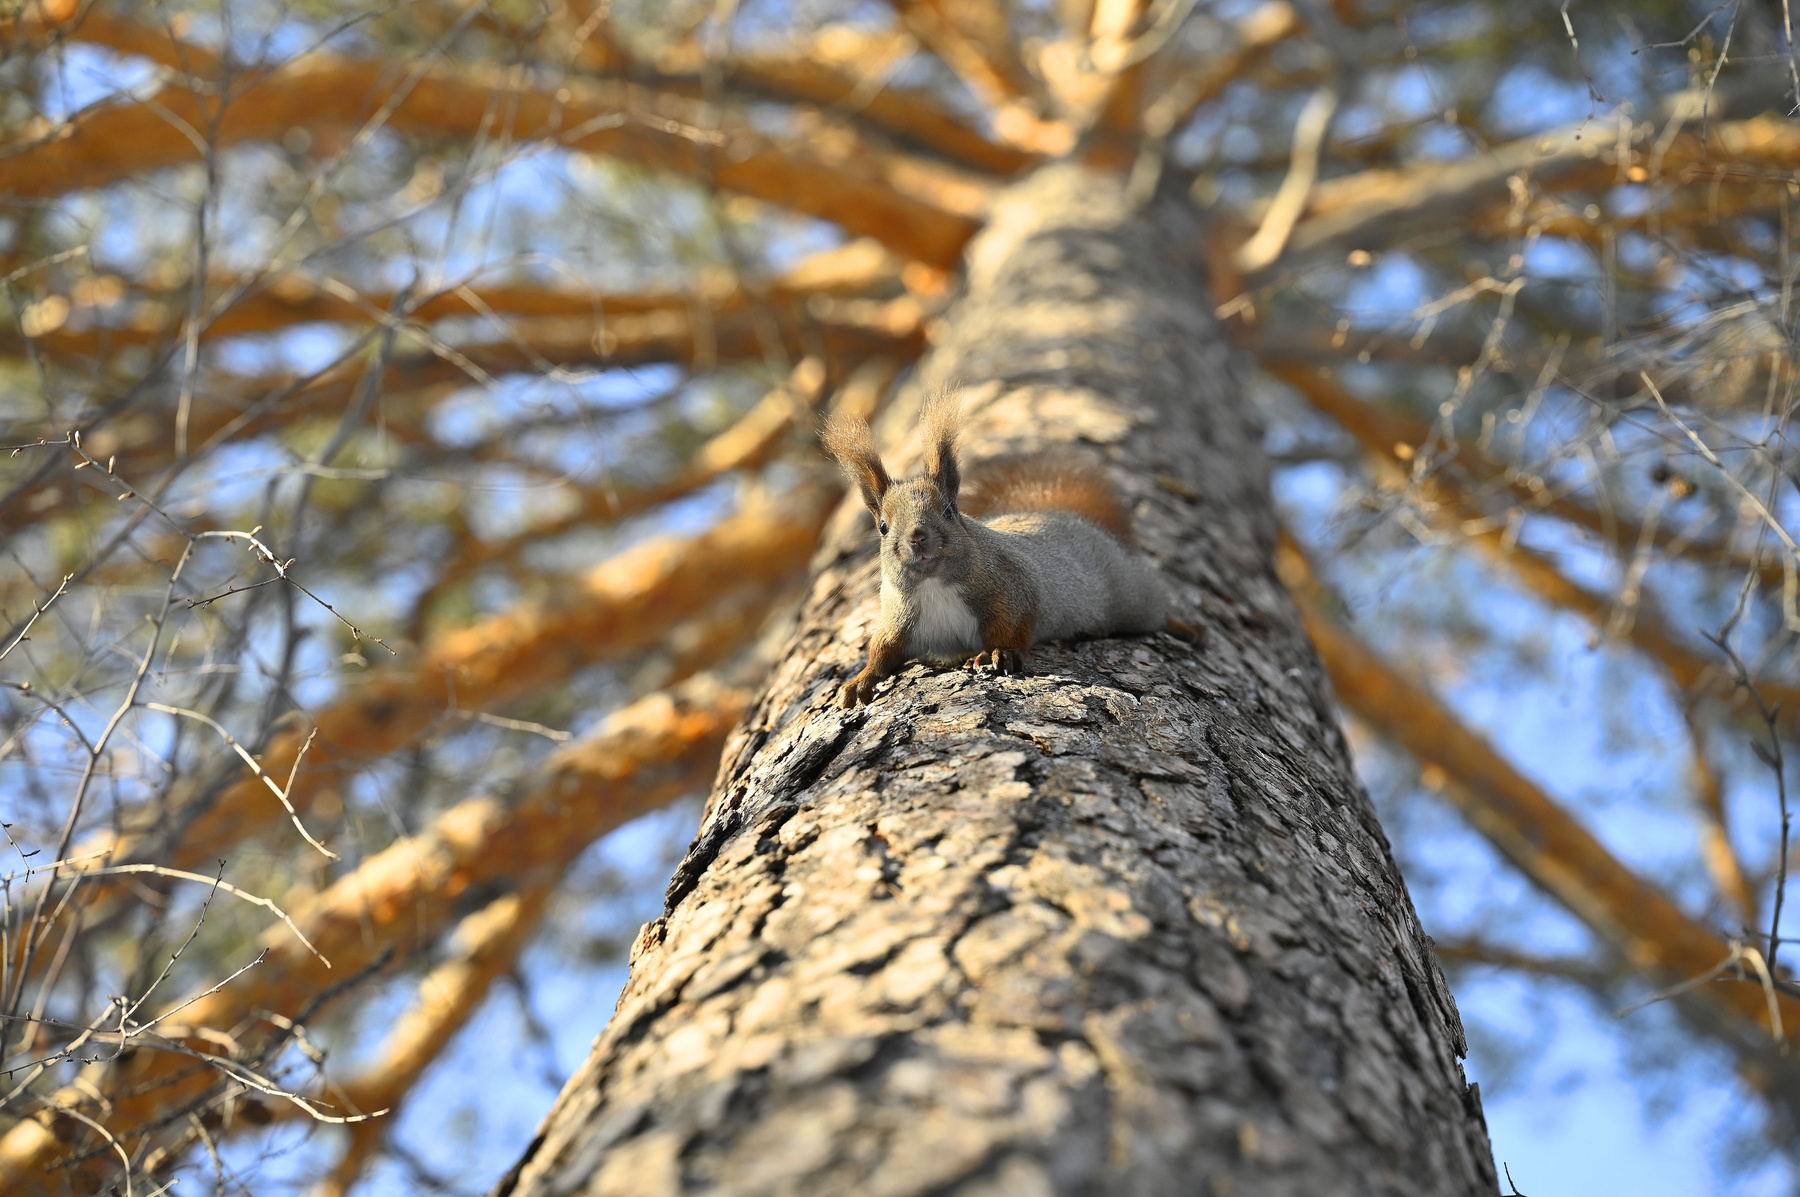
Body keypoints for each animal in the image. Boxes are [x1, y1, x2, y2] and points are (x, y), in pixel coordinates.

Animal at [821, 388, 1185, 708]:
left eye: (949, 511)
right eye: (882, 527)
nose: (918, 536)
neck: (933, 586)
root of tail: (1058, 515)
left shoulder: (1015, 588)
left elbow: (1017, 627)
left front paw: (1001, 654)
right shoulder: (898, 621)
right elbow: (883, 651)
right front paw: (860, 681)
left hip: (1131, 594)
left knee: (1156, 605)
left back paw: (1186, 628)